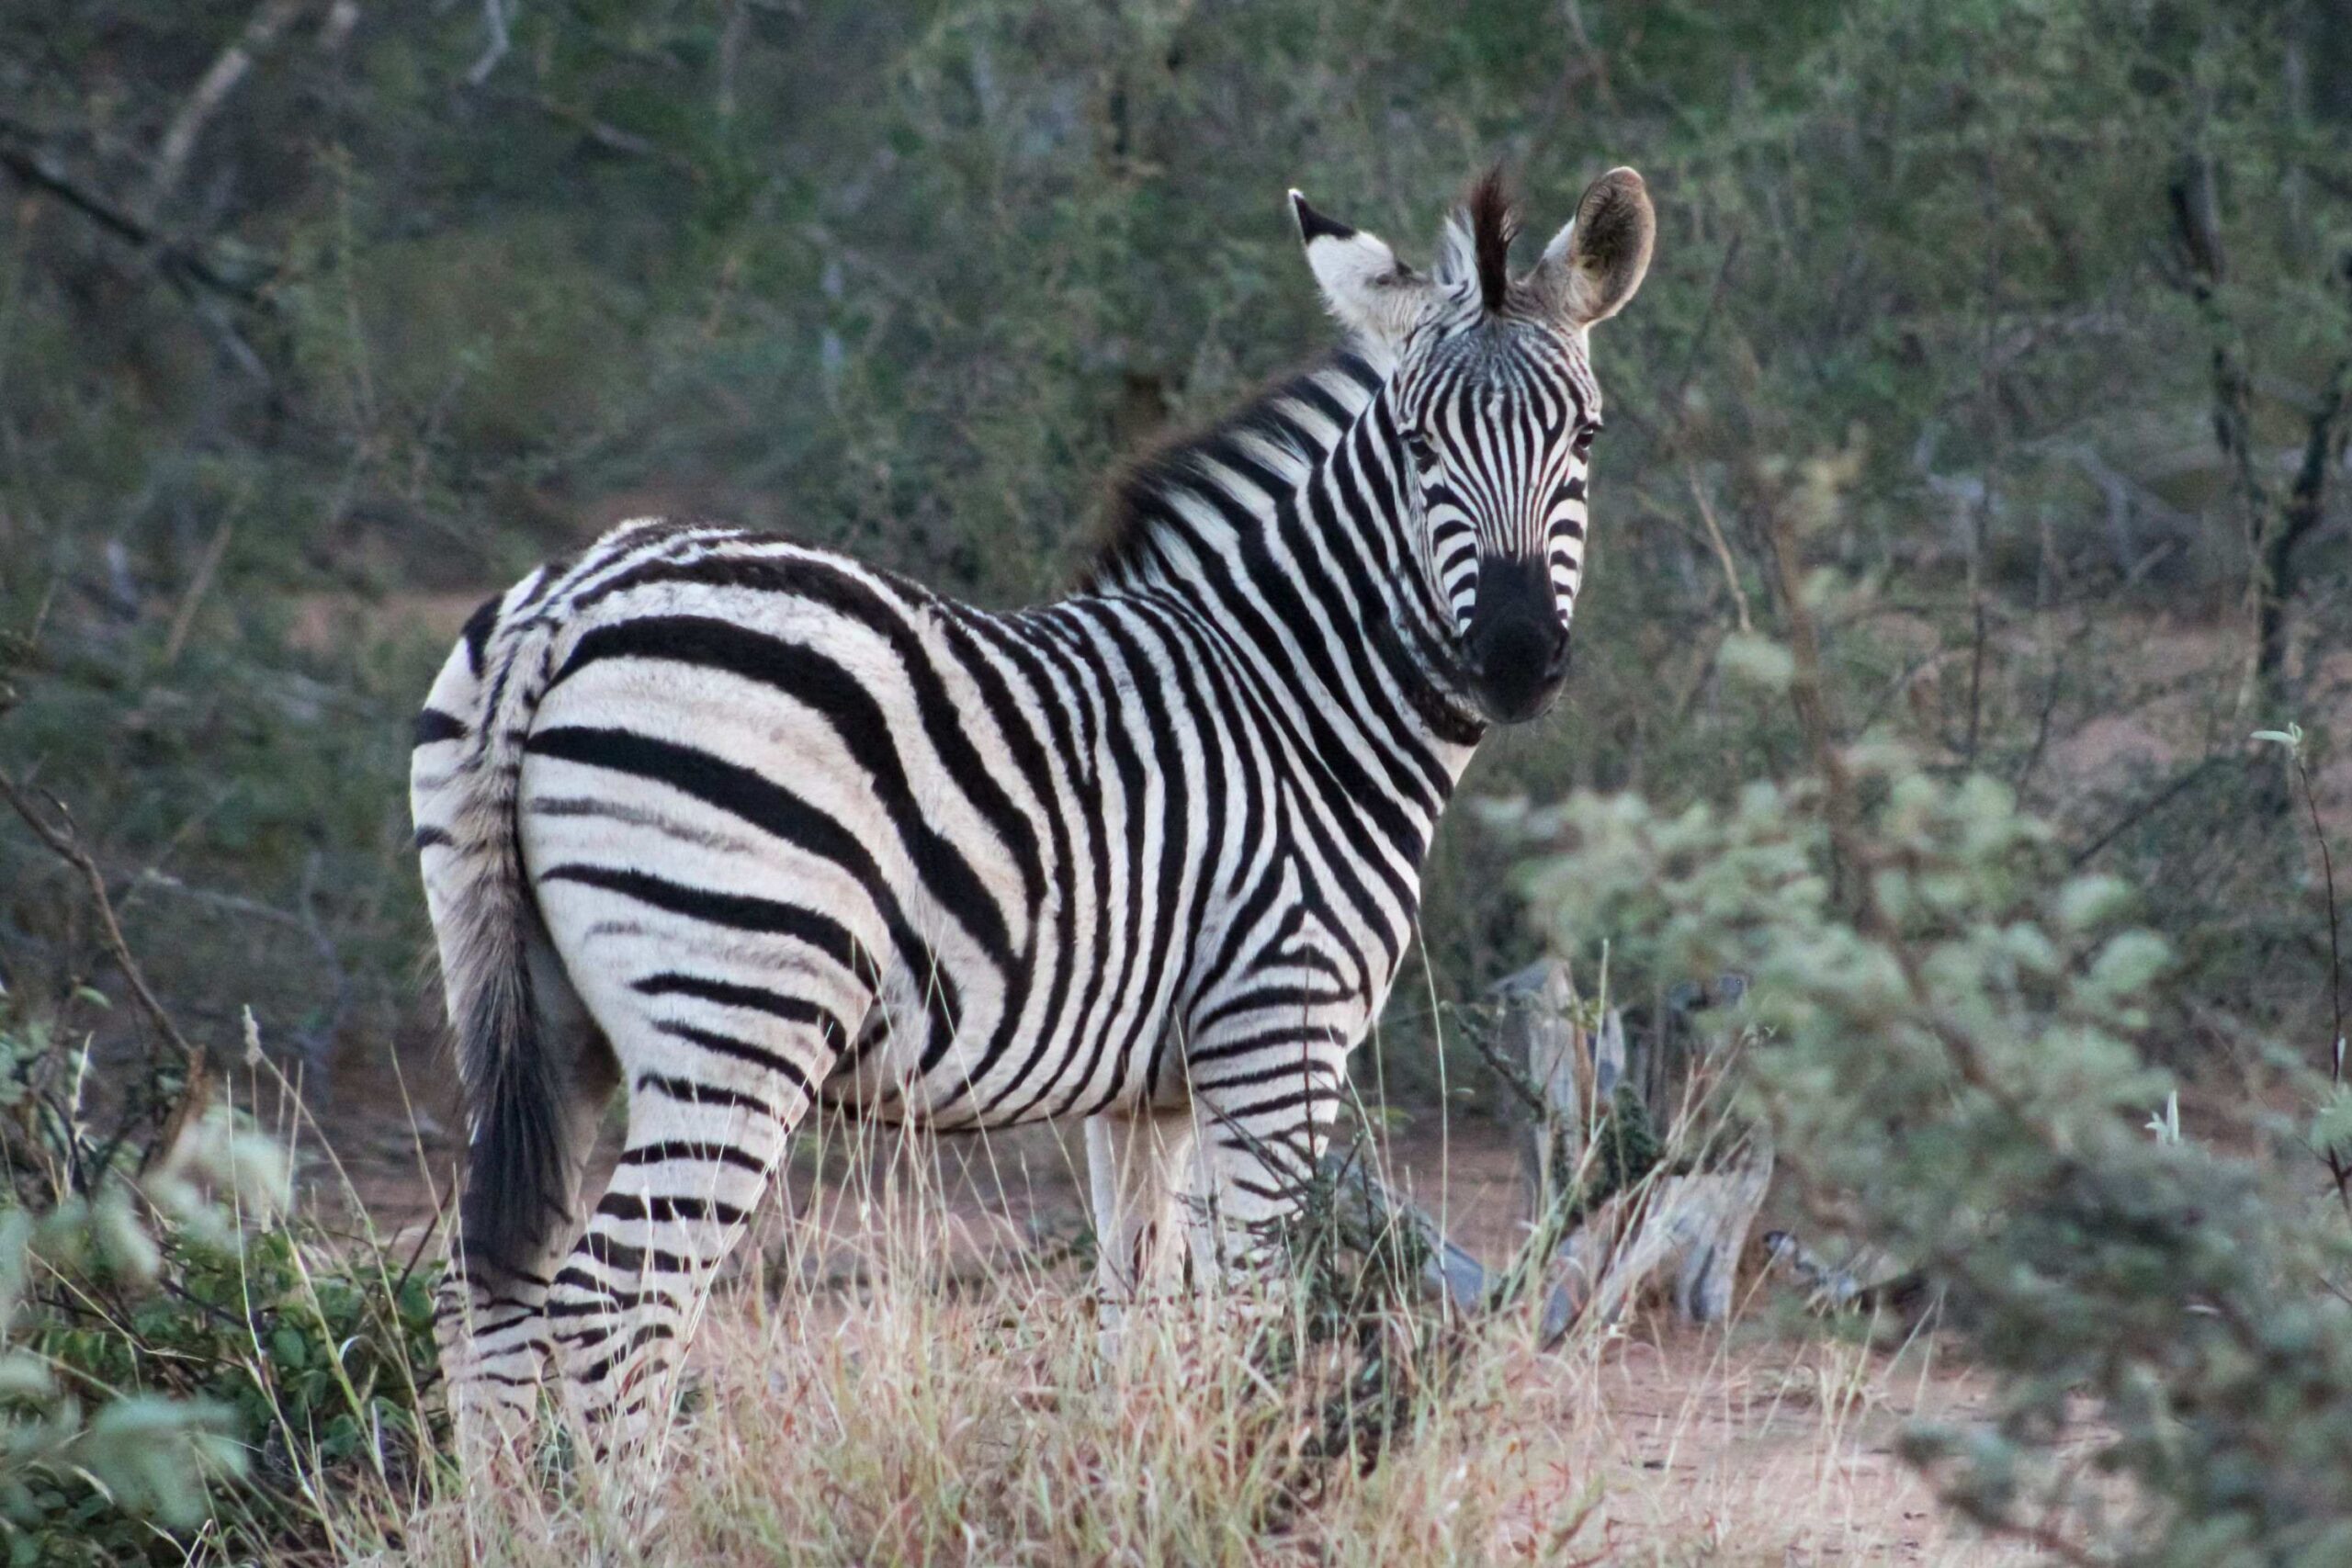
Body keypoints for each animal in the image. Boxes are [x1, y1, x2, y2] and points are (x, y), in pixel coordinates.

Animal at [409, 165, 1656, 1457]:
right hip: (739, 1016)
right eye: (1417, 445)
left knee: (481, 1292)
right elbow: (1243, 1313)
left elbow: (1137, 1311)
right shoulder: (1277, 1038)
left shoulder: (1148, 1094)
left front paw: (1146, 1480)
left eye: (1584, 435)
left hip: (536, 1006)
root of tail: (568, 600)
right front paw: (1238, 1477)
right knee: (618, 1304)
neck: (1295, 693)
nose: (1515, 659)